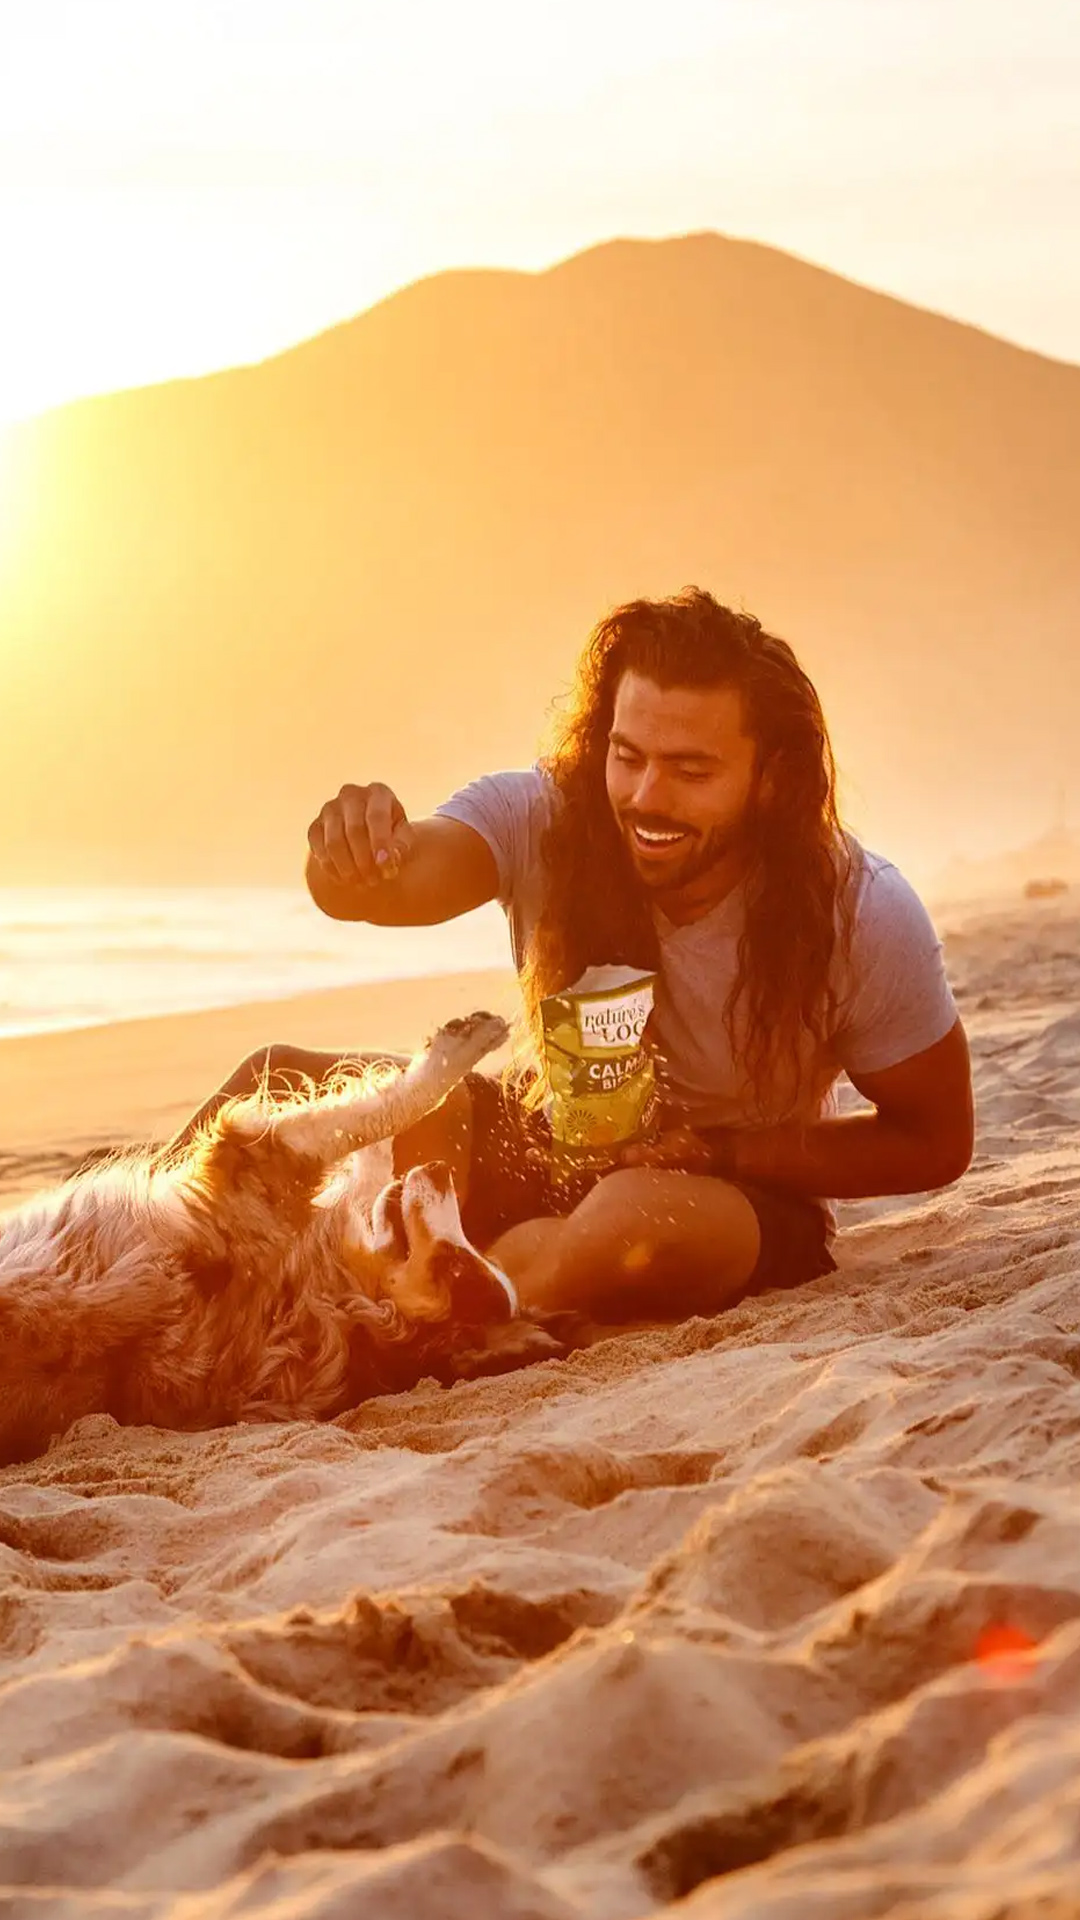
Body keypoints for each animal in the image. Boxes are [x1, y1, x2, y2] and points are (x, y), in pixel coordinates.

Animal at [0, 1013, 553, 1459]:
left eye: (457, 1265)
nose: (440, 1172)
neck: (340, 1306)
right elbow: (371, 1147)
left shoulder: (261, 1163)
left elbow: (378, 1113)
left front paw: (457, 1048)